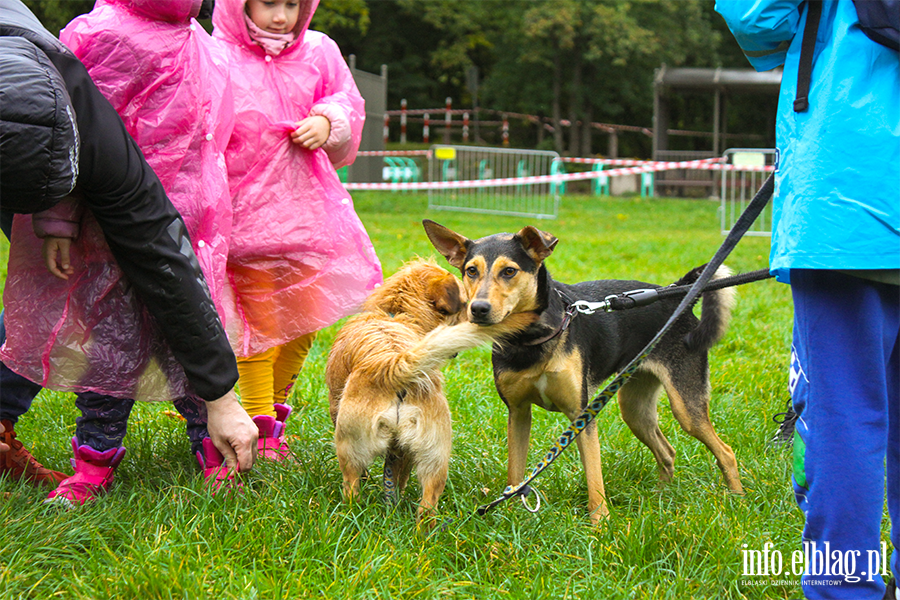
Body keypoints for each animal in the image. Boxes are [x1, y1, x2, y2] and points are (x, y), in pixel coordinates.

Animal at [326, 258, 532, 524]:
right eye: (465, 302)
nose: (475, 314)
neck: (397, 315)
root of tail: (396, 364)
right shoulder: (402, 451)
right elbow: (399, 478)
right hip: (435, 455)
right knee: (426, 507)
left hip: (349, 446)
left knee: (352, 486)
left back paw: (348, 514)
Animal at [426, 219, 740, 520]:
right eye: (470, 271)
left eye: (509, 271)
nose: (478, 308)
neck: (531, 339)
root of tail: (678, 296)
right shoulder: (518, 412)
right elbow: (515, 473)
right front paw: (511, 514)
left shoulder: (581, 414)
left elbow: (594, 477)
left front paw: (600, 523)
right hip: (634, 407)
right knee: (667, 451)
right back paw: (662, 496)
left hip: (685, 406)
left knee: (725, 452)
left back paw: (737, 499)